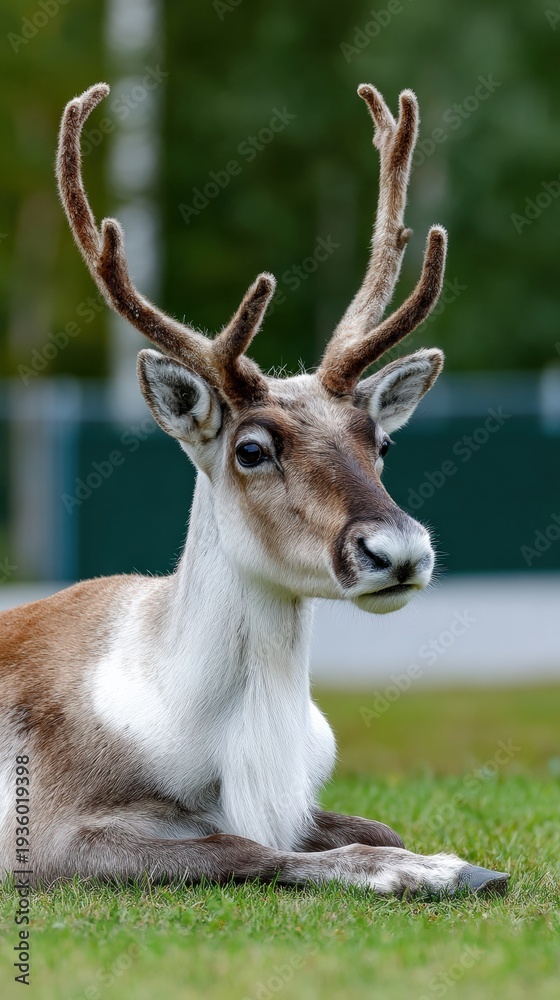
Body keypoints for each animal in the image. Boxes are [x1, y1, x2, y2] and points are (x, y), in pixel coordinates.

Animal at [0, 82, 509, 896]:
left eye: (382, 441)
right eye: (250, 449)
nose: (399, 550)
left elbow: (375, 824)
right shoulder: (51, 833)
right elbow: (244, 850)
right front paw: (433, 869)